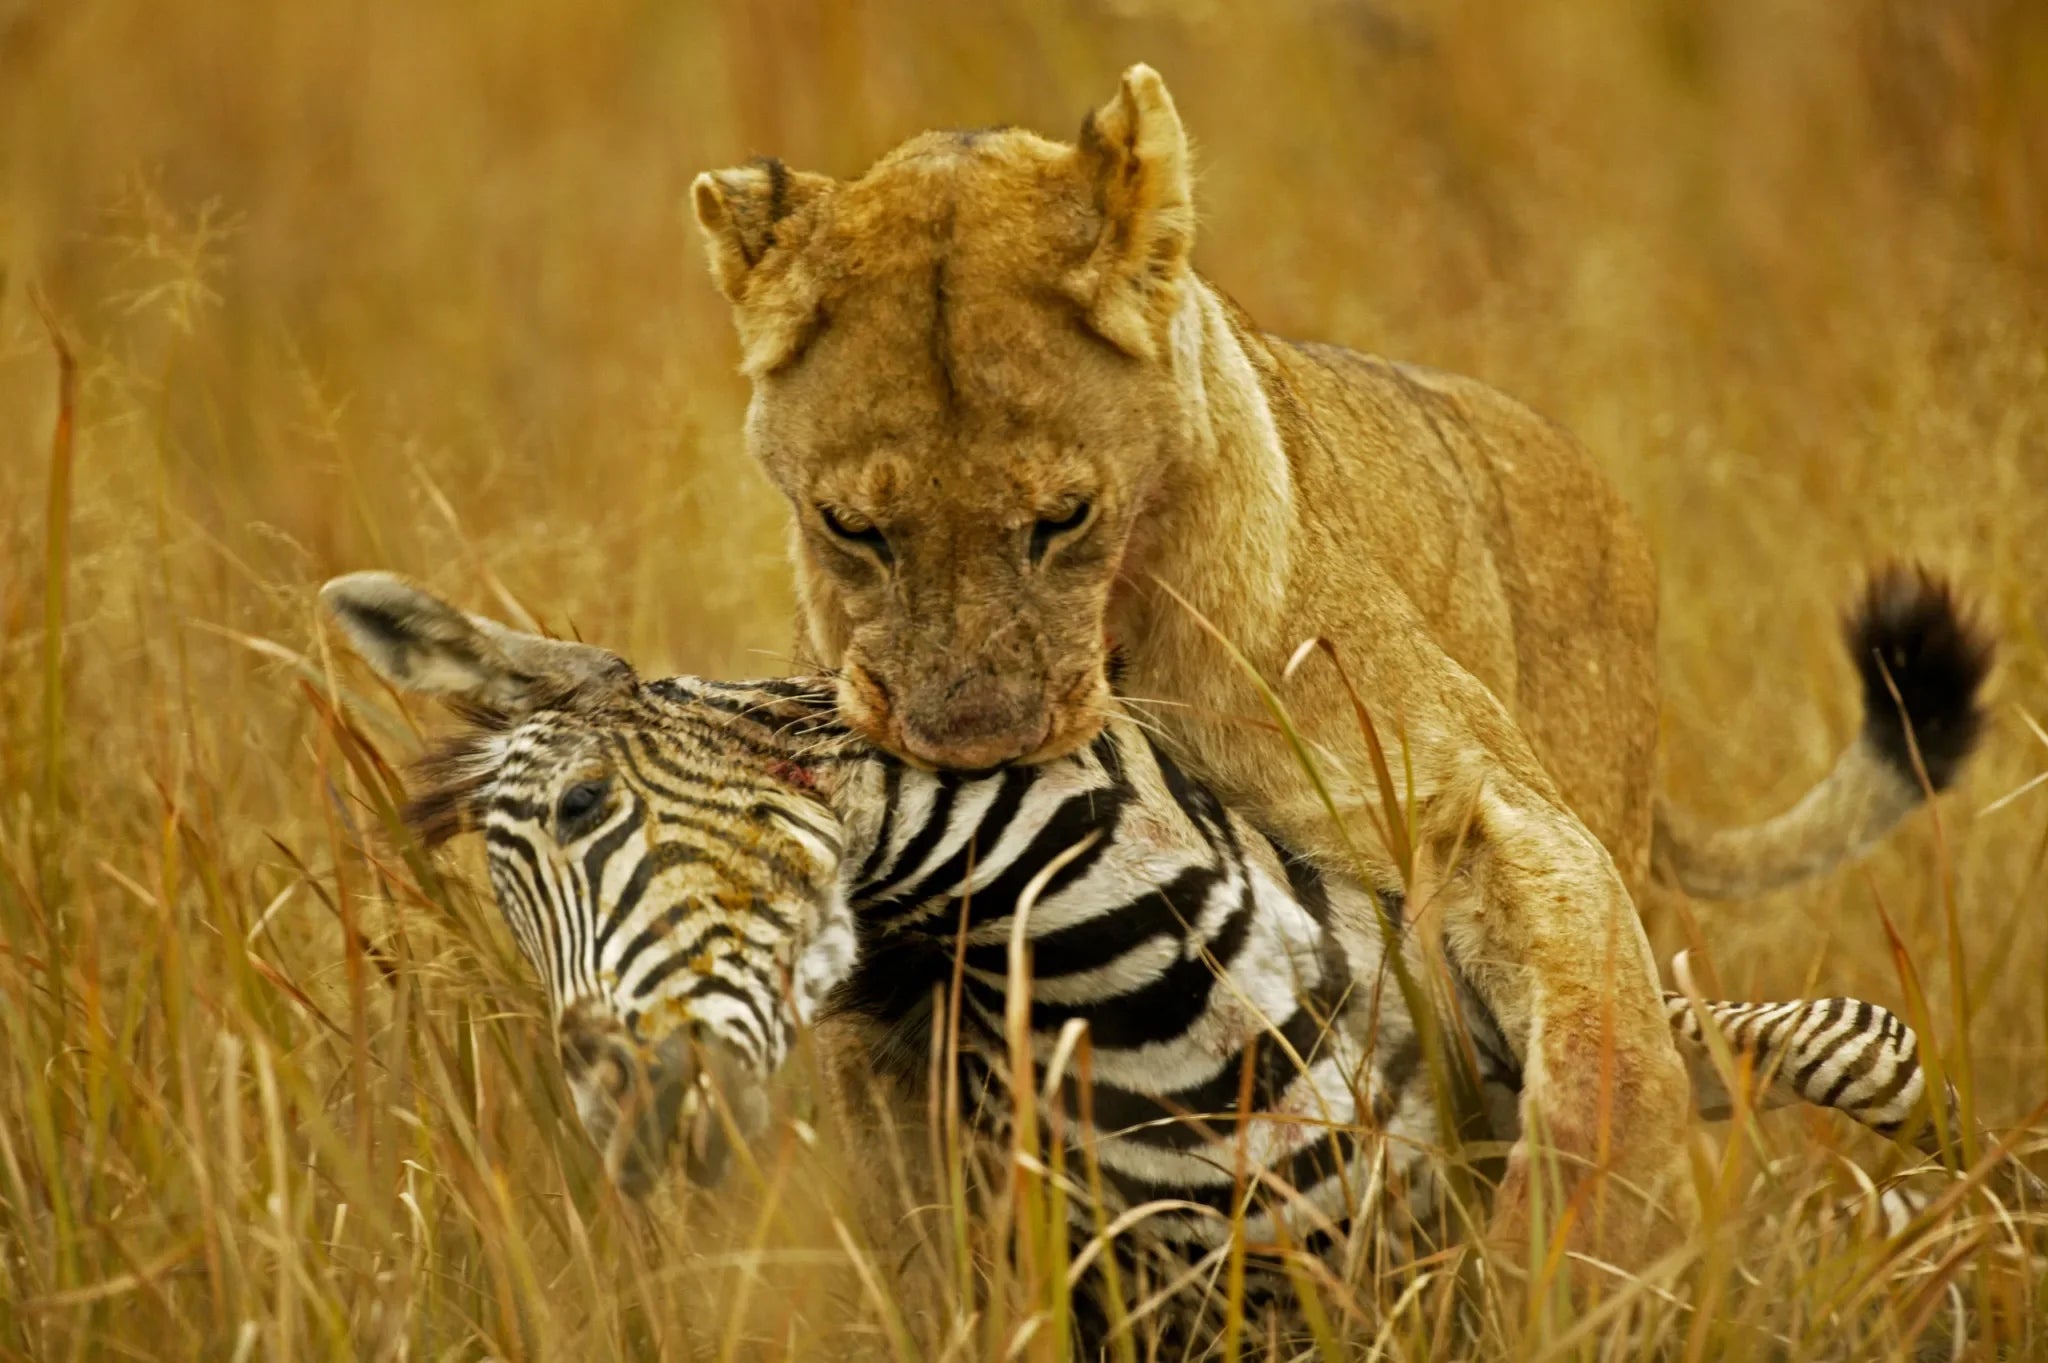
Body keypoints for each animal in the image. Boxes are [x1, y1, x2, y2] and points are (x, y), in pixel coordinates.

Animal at [688, 66, 1991, 1267]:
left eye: (1064, 518)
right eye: (850, 528)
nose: (971, 747)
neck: (1125, 647)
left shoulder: (1474, 806)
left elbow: (1596, 1065)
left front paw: (1557, 1262)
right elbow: (924, 1221)